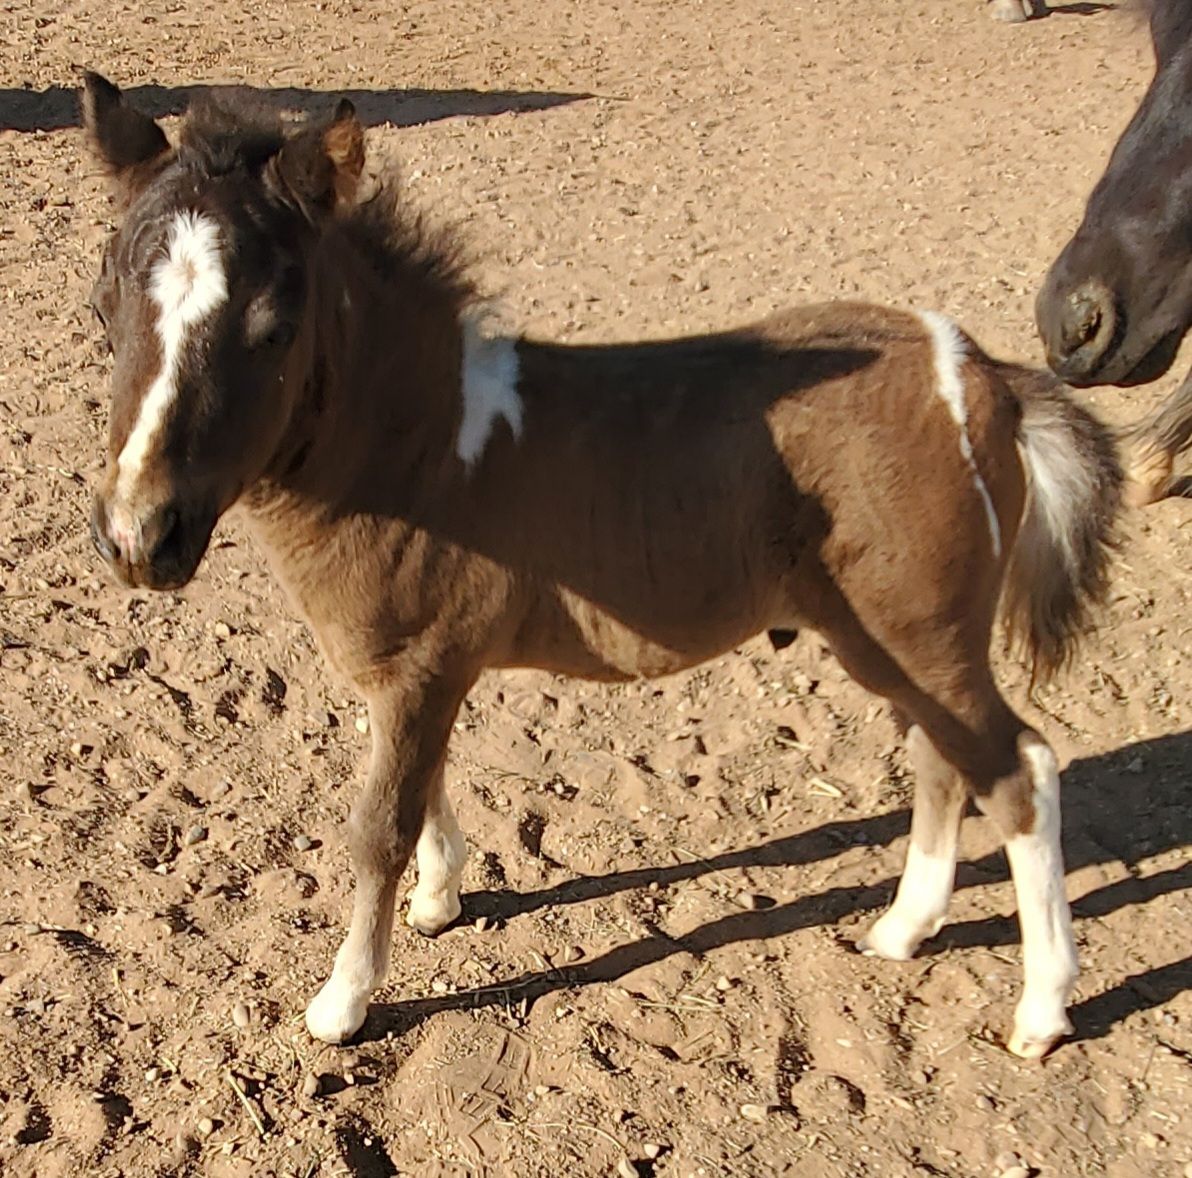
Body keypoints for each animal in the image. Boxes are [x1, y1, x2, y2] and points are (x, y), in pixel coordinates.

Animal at [78, 72, 1120, 1059]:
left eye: (272, 327)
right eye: (103, 307)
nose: (139, 537)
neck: (422, 445)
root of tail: (978, 373)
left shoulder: (418, 668)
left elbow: (379, 825)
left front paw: (343, 1001)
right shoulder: (414, 675)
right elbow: (423, 788)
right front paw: (441, 901)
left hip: (919, 634)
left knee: (1019, 772)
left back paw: (1041, 1009)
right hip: (901, 644)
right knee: (947, 759)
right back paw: (904, 930)